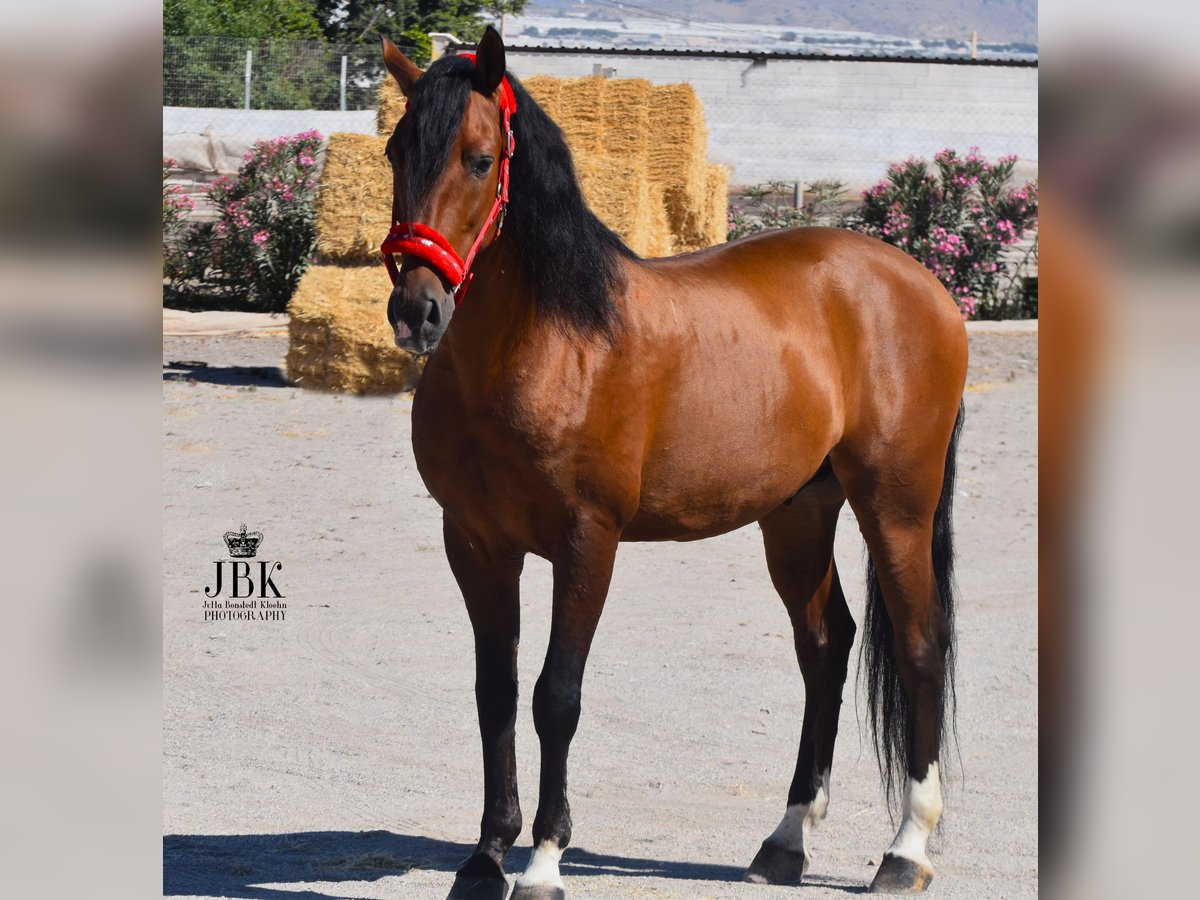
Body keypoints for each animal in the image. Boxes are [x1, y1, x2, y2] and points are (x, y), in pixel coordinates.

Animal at [379, 24, 969, 897]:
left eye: (479, 159)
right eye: (395, 152)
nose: (416, 310)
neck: (549, 342)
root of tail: (923, 286)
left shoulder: (587, 542)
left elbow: (556, 697)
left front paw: (545, 860)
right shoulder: (478, 544)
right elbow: (497, 695)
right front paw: (485, 859)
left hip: (896, 505)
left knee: (920, 642)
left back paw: (905, 850)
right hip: (799, 514)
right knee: (826, 646)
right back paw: (786, 840)